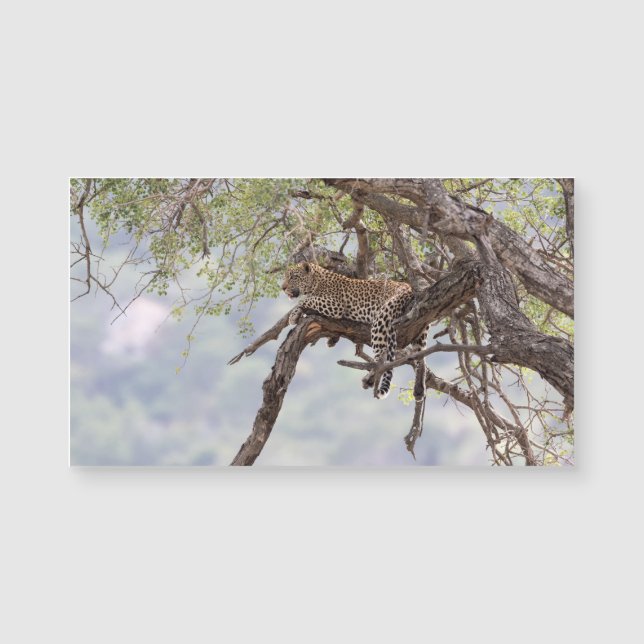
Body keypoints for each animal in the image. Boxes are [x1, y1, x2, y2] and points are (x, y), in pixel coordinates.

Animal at [282, 262, 429, 400]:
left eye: (293, 277)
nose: (283, 288)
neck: (316, 282)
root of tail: (408, 287)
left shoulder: (335, 304)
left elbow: (304, 301)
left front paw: (293, 316)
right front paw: (331, 340)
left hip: (381, 320)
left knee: (381, 359)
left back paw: (372, 377)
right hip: (420, 329)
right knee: (420, 358)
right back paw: (419, 388)